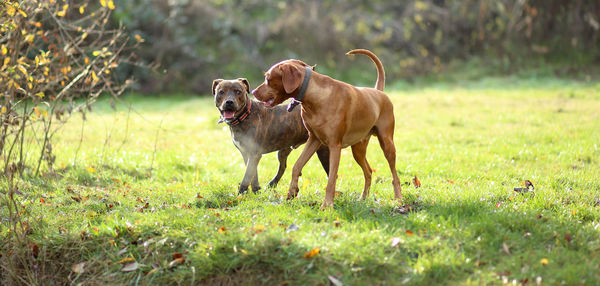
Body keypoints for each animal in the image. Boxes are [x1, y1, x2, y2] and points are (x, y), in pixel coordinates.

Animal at [251, 48, 400, 206]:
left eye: (268, 78)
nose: (253, 91)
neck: (315, 97)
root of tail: (379, 92)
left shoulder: (335, 146)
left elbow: (332, 178)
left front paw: (327, 204)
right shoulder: (313, 140)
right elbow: (297, 166)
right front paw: (292, 192)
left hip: (387, 143)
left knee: (394, 175)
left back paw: (398, 198)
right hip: (358, 149)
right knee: (369, 171)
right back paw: (363, 198)